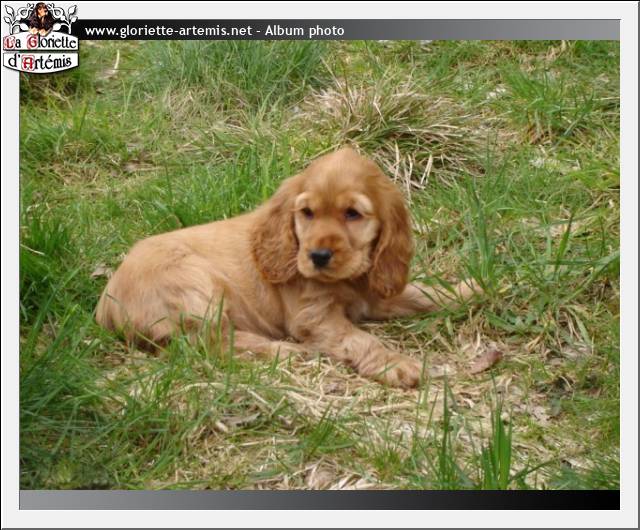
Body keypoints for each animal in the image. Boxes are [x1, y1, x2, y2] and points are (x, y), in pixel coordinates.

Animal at [96, 148, 481, 388]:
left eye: (352, 214)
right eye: (307, 213)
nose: (318, 256)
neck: (349, 279)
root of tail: (104, 305)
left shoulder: (375, 292)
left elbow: (422, 293)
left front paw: (471, 289)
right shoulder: (314, 317)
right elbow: (360, 339)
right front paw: (396, 363)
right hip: (195, 285)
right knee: (208, 343)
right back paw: (286, 351)